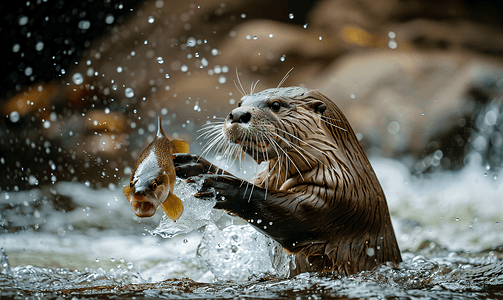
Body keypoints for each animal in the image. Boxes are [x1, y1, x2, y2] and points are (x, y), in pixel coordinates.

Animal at [175, 85, 404, 276]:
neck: (336, 168)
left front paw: (220, 186)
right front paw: (192, 165)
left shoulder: (337, 200)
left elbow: (286, 214)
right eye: (240, 102)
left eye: (276, 105)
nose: (238, 114)